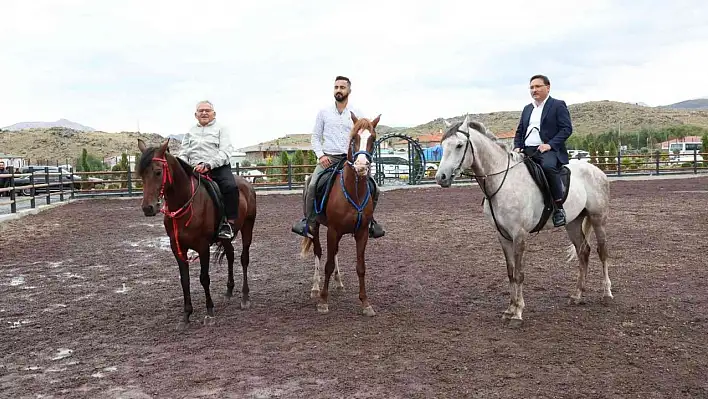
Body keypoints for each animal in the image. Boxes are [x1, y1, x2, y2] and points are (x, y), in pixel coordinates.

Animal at [136, 139, 258, 330]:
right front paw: (186, 315)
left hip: (248, 228)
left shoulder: (203, 247)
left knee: (244, 259)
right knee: (230, 255)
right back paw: (229, 291)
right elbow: (185, 280)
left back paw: (245, 298)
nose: (148, 208)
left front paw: (209, 312)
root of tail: (247, 184)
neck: (186, 203)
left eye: (158, 172)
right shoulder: (177, 247)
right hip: (226, 238)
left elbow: (204, 278)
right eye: (141, 174)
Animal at [300, 113, 382, 318]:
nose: (361, 166)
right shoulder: (333, 231)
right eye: (353, 138)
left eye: (373, 138)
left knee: (334, 252)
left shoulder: (361, 233)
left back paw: (339, 282)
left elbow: (361, 267)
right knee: (319, 252)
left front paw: (365, 303)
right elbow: (327, 264)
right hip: (316, 226)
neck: (354, 191)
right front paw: (323, 301)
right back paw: (315, 288)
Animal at [434, 115, 612, 328]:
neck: (502, 182)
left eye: (459, 145)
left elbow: (519, 273)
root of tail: (596, 170)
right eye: (442, 145)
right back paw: (577, 296)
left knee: (602, 252)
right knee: (583, 252)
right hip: (573, 223)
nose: (441, 177)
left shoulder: (519, 234)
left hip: (598, 218)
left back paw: (607, 294)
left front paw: (518, 313)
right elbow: (511, 272)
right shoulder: (503, 236)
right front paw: (510, 309)